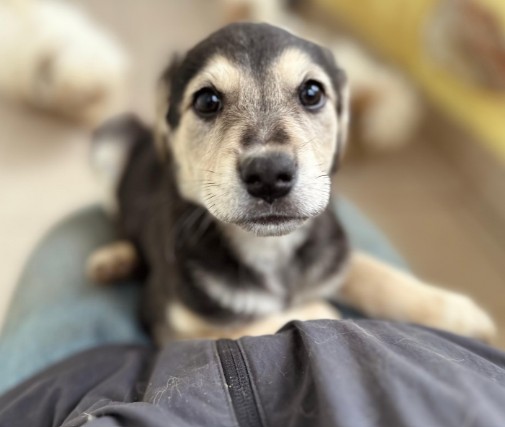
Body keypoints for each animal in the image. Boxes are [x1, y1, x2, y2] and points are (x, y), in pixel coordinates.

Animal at [87, 23, 495, 345]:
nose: (269, 174)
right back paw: (115, 258)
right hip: (110, 139)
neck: (271, 250)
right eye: (207, 100)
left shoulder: (331, 252)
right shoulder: (170, 323)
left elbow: (371, 270)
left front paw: (456, 313)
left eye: (312, 93)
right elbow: (272, 319)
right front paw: (321, 310)